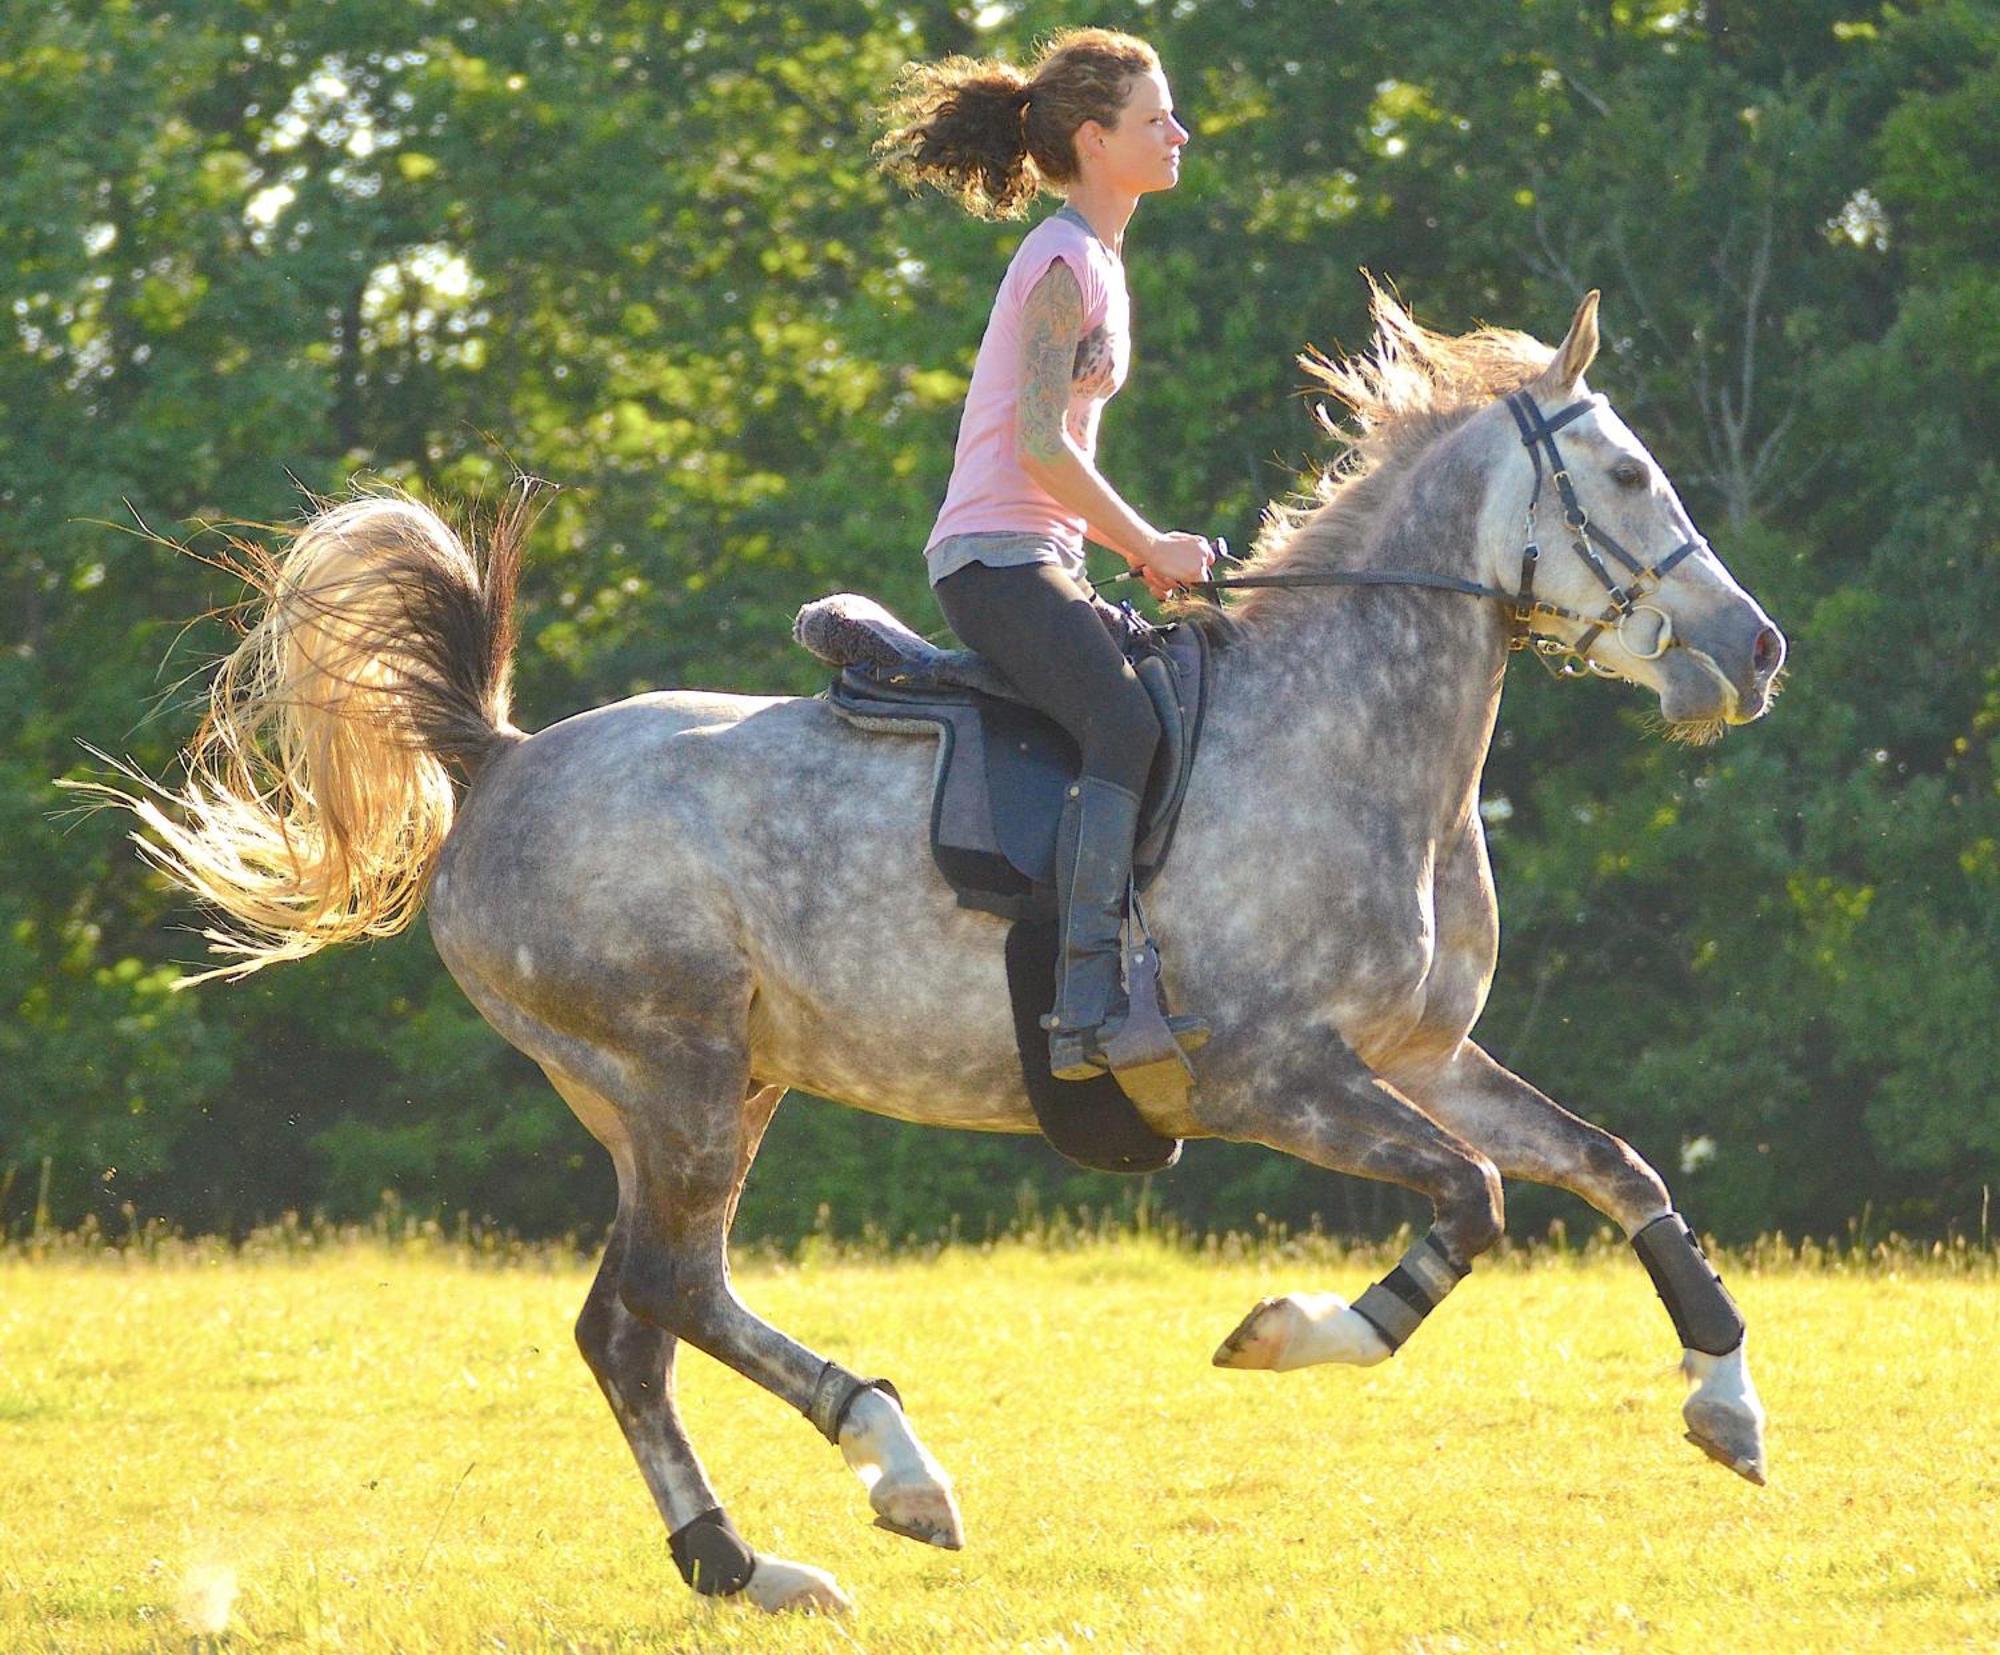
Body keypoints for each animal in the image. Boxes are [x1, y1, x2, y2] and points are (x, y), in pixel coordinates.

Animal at [94, 291, 1784, 1607]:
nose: (1756, 650)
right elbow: (1473, 1197)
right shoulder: (1273, 1076)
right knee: (673, 1293)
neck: (1345, 734)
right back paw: (892, 1460)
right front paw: (1290, 1328)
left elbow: (1613, 1164)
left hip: (697, 1094)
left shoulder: (1419, 1053)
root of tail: (497, 759)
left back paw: (743, 1562)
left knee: (628, 1323)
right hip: (679, 1077)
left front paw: (1727, 1396)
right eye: (1628, 470)